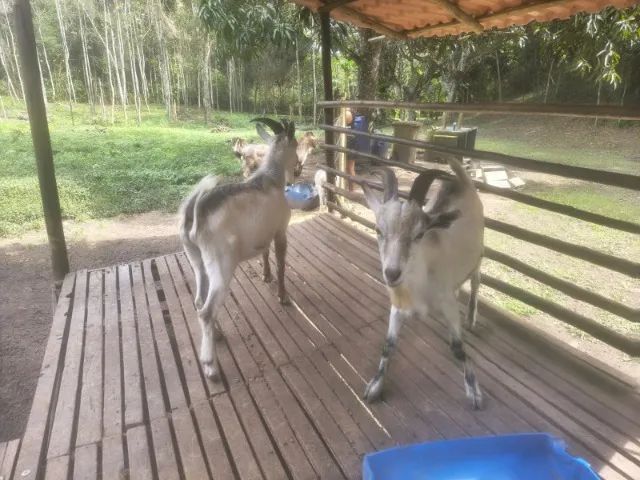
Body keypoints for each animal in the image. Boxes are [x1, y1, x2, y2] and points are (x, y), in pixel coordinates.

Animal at [180, 118, 297, 381]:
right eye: (295, 145)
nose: (298, 171)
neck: (271, 179)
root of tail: (196, 215)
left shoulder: (263, 233)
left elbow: (265, 254)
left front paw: (265, 276)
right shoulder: (280, 230)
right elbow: (281, 263)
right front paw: (283, 296)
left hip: (196, 259)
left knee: (199, 300)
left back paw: (217, 334)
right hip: (221, 262)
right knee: (206, 310)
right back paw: (210, 366)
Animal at [361, 159, 484, 409]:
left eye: (419, 234)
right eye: (378, 230)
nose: (392, 273)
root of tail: (460, 180)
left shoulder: (447, 303)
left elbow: (458, 348)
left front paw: (474, 391)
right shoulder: (398, 307)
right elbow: (388, 345)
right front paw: (375, 386)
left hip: (479, 255)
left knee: (476, 281)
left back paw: (471, 318)